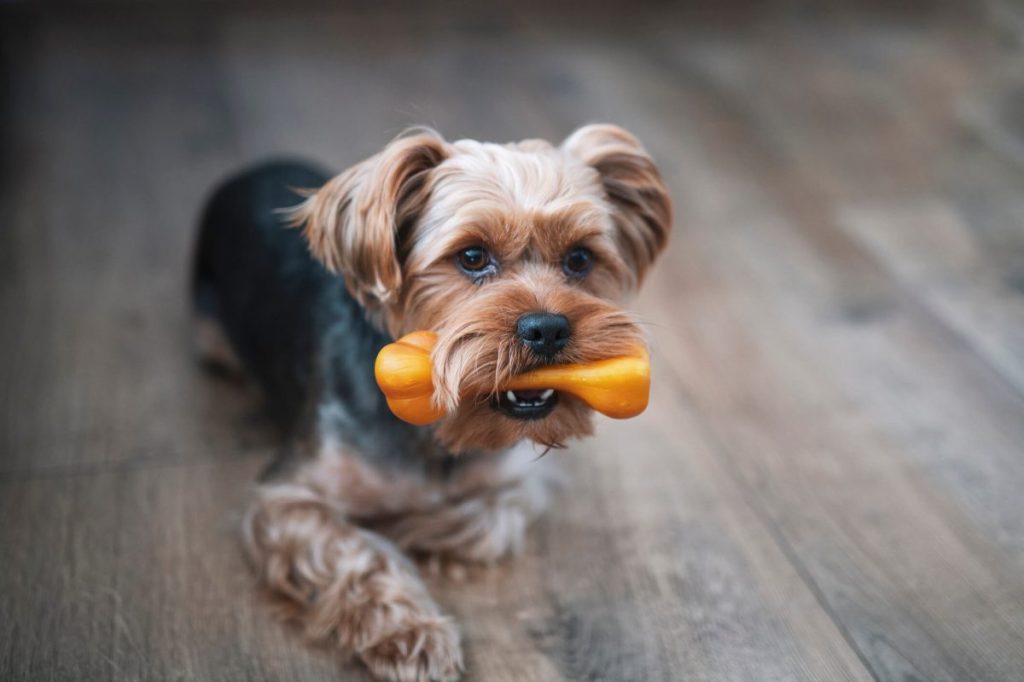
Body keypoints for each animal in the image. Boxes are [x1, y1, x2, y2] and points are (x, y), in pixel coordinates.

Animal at [191, 124, 671, 675]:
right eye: (472, 257)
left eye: (580, 259)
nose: (548, 328)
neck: (439, 424)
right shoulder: (285, 498)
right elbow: (356, 552)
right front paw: (410, 634)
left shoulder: (516, 479)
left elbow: (491, 519)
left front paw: (412, 525)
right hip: (211, 333)